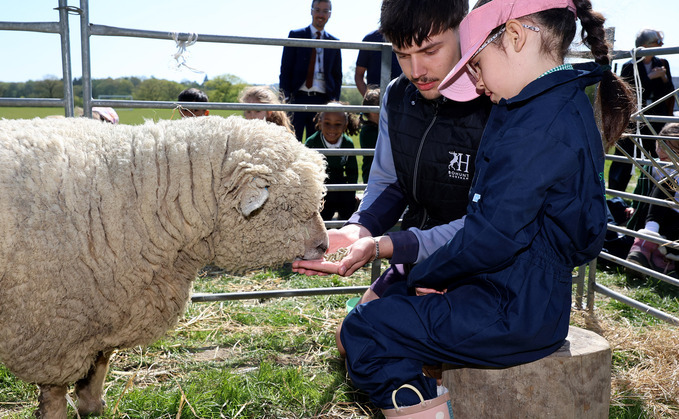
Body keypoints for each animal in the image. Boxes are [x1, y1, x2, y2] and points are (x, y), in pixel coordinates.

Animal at [0, 115, 328, 418]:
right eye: (287, 207)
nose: (324, 246)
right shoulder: (53, 329)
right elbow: (55, 392)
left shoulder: (110, 305)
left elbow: (100, 362)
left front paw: (94, 406)